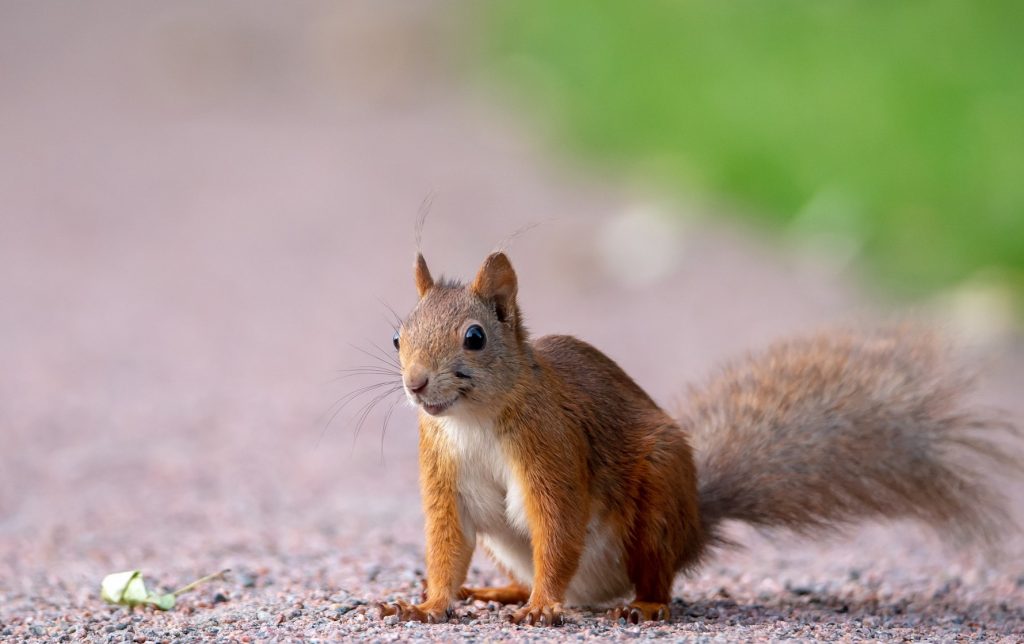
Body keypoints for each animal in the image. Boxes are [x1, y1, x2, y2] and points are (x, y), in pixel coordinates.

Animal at [377, 250, 1016, 626]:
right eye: (398, 337)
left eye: (475, 337)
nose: (415, 384)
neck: (473, 421)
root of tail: (694, 526)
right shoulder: (442, 473)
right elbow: (446, 546)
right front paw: (425, 604)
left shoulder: (554, 450)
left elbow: (557, 528)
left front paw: (541, 609)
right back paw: (503, 592)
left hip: (656, 502)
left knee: (654, 575)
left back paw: (641, 605)